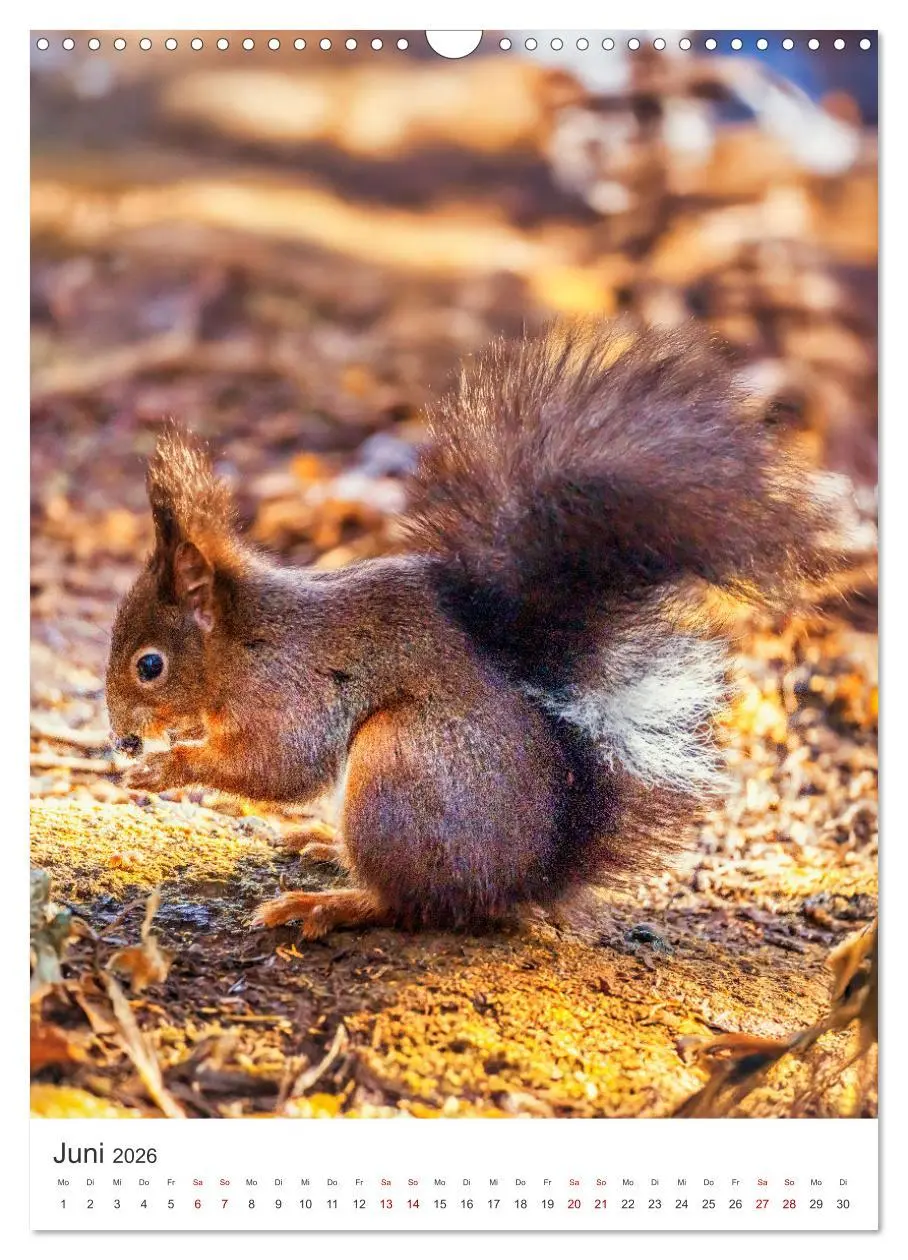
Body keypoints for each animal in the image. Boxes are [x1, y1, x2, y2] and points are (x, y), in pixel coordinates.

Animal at [106, 321, 836, 939]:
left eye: (150, 664)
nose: (120, 740)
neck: (242, 643)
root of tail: (527, 877)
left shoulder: (290, 690)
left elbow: (281, 765)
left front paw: (166, 767)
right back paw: (324, 845)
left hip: (403, 767)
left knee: (410, 902)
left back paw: (330, 901)